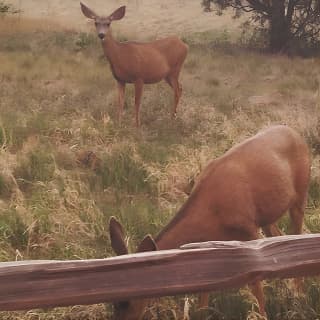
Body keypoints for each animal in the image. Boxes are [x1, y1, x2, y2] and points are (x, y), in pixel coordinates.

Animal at [108, 125, 310, 320]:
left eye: (127, 301)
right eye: (112, 301)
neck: (211, 212)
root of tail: (295, 133)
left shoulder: (249, 230)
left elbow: (256, 288)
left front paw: (262, 314)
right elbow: (203, 297)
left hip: (300, 195)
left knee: (297, 236)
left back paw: (299, 296)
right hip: (267, 216)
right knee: (279, 237)